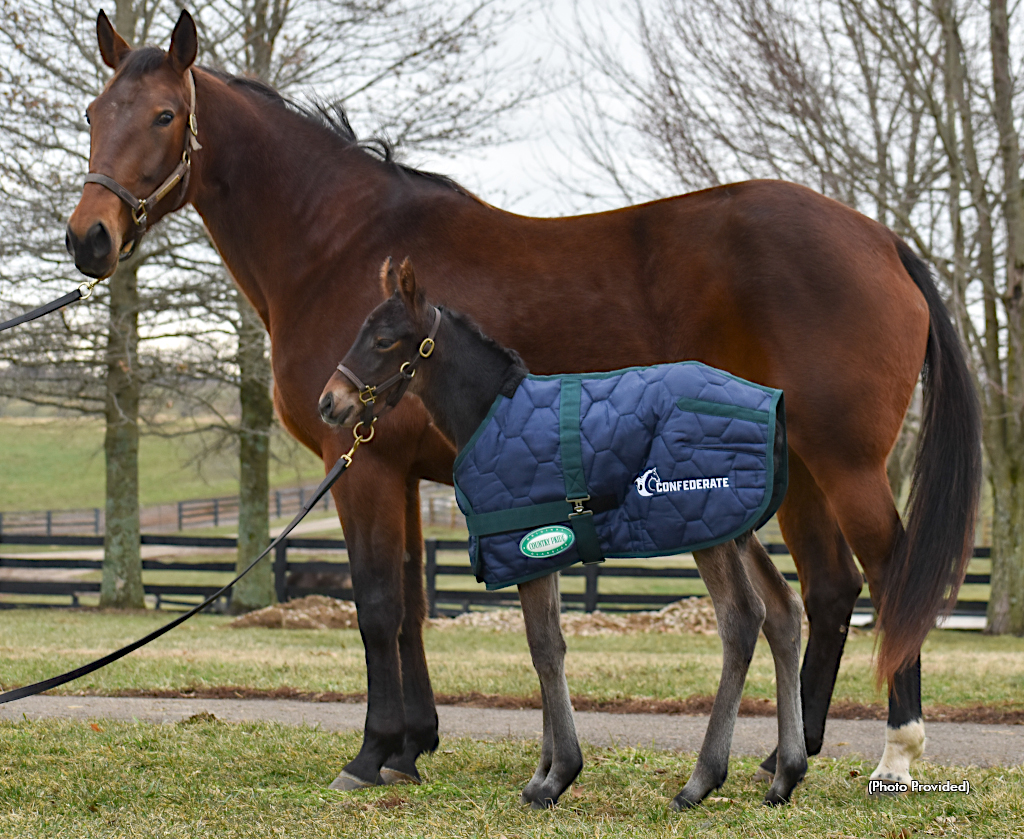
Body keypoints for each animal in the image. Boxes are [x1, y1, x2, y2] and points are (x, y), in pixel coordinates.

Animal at [319, 259, 806, 811]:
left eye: (382, 340)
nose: (329, 402)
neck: (491, 414)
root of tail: (773, 408)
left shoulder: (527, 546)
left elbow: (543, 648)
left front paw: (558, 777)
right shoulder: (541, 552)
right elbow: (550, 646)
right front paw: (544, 774)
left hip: (708, 532)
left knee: (742, 619)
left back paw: (701, 779)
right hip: (735, 527)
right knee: (784, 612)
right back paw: (785, 775)